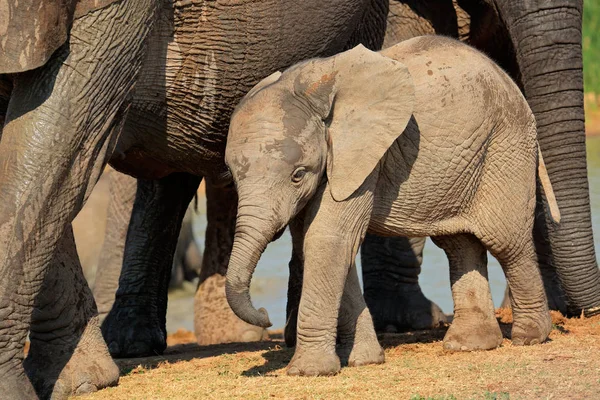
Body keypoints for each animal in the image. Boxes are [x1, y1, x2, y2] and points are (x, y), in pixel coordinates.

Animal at [224, 36, 556, 376]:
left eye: (297, 175)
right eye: (232, 175)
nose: (266, 314)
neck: (306, 87)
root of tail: (512, 85)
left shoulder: (361, 160)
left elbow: (327, 240)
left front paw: (309, 372)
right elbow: (323, 245)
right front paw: (365, 360)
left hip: (505, 144)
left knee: (507, 243)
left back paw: (529, 337)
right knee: (459, 245)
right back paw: (470, 344)